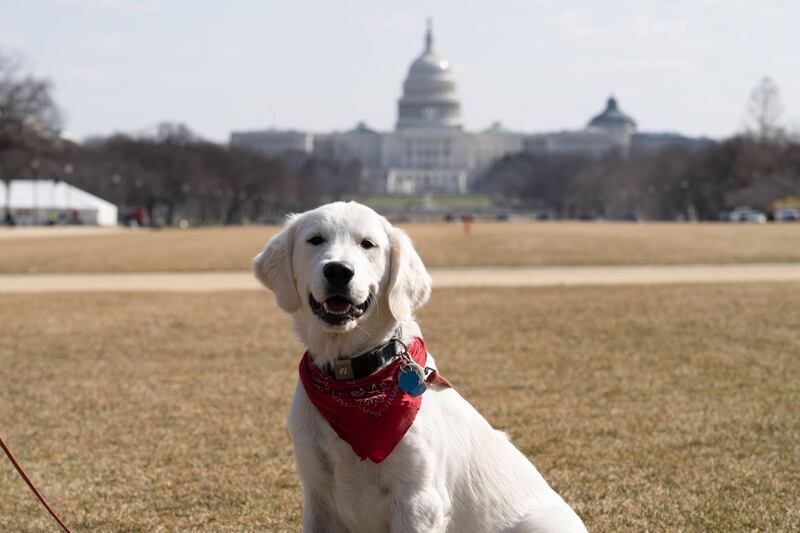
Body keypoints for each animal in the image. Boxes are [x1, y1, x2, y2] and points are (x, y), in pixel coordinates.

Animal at [253, 202, 584, 528]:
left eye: (367, 244)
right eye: (315, 239)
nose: (338, 270)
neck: (352, 380)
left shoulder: (417, 499)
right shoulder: (318, 494)